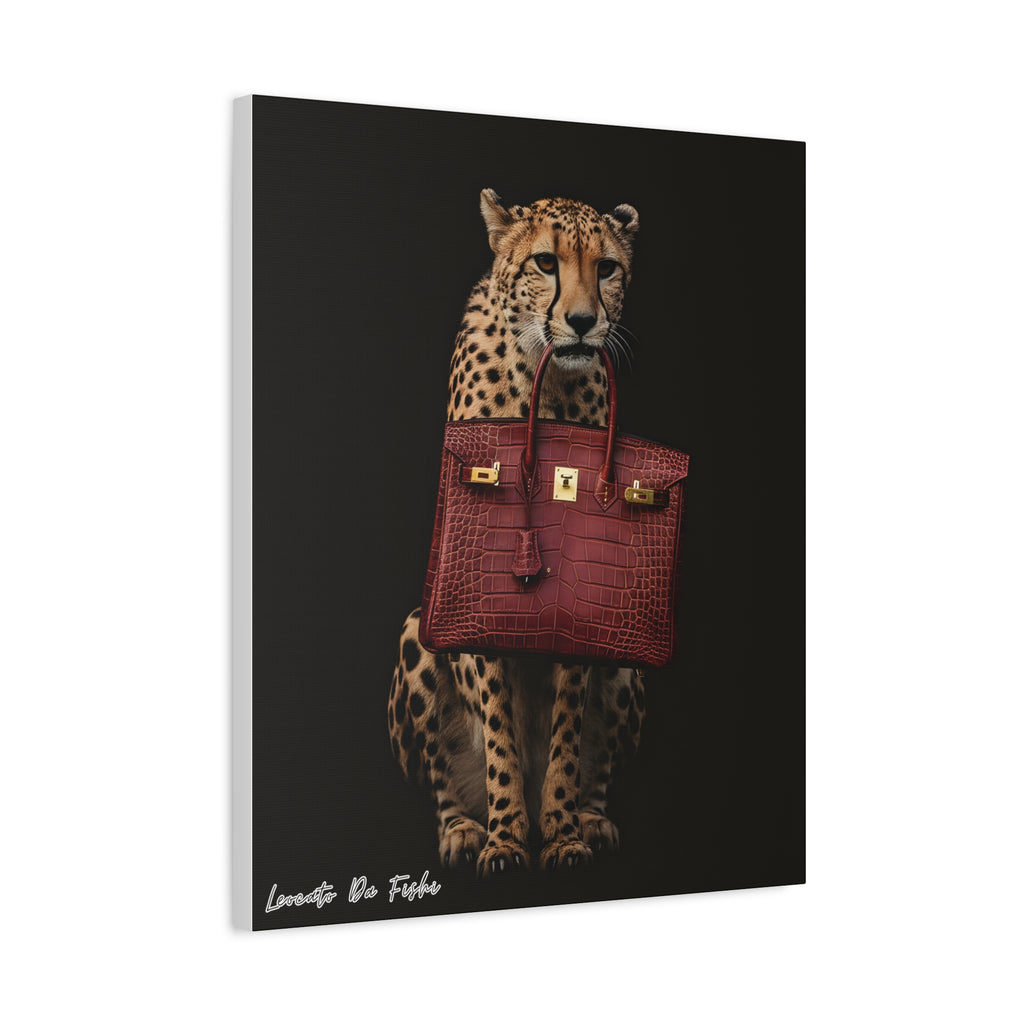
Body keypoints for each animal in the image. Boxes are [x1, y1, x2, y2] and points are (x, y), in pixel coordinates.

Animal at [387, 189, 646, 878]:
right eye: (545, 262)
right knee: (446, 785)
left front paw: (561, 834)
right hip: (419, 628)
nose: (582, 322)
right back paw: (464, 830)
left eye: (606, 268)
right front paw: (506, 839)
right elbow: (500, 729)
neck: (544, 377)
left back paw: (591, 819)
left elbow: (564, 731)